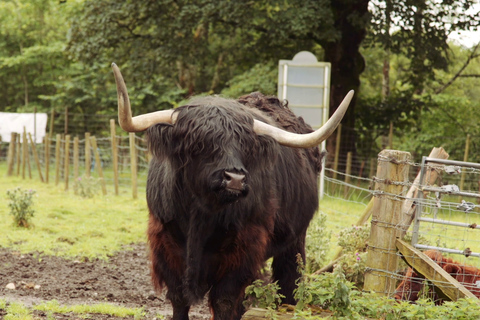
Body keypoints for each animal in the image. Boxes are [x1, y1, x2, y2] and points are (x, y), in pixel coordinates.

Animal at [111, 63, 352, 320]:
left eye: (245, 145)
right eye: (198, 143)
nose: (235, 179)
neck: (201, 214)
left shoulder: (244, 248)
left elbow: (225, 300)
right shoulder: (165, 242)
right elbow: (179, 298)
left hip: (295, 239)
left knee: (289, 282)